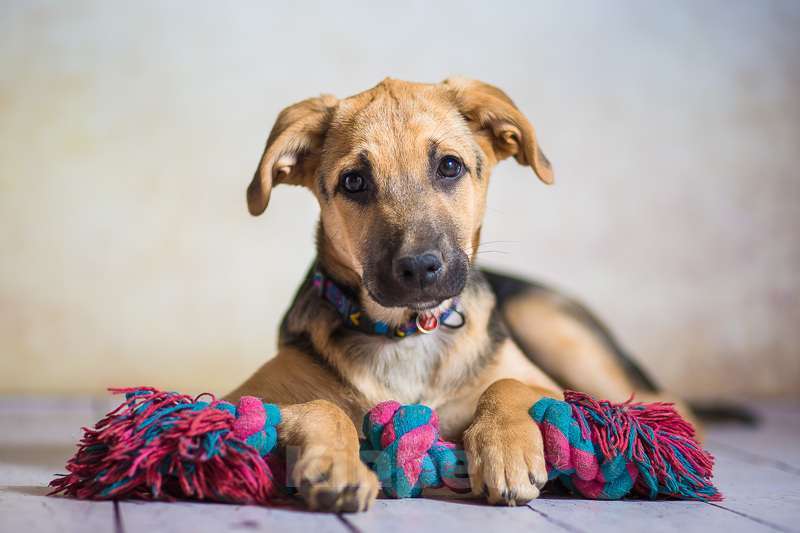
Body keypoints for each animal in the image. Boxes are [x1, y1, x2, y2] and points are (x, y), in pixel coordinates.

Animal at [228, 77, 696, 510]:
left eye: (449, 166)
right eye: (354, 181)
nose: (419, 268)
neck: (408, 333)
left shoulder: (550, 387)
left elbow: (507, 383)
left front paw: (504, 450)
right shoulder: (240, 399)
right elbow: (320, 405)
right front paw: (335, 465)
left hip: (552, 330)